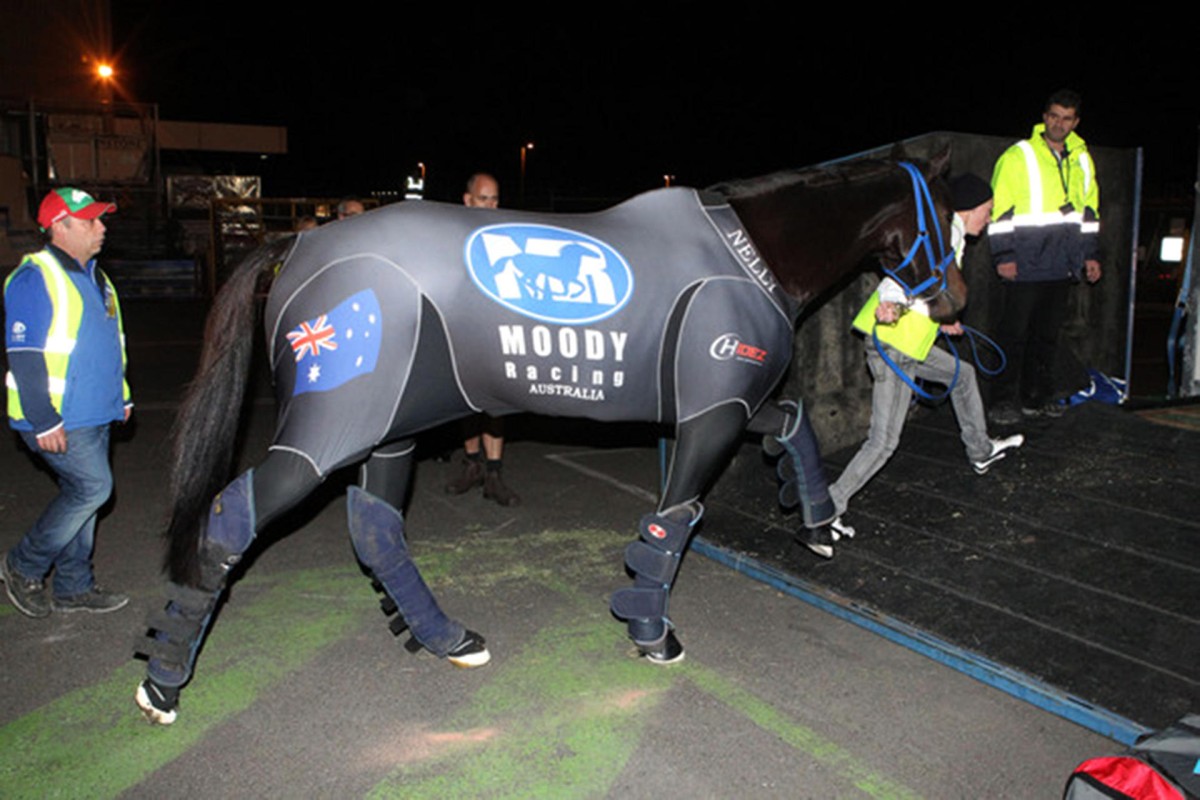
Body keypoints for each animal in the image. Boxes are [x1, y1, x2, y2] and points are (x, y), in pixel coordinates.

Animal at [133, 151, 955, 724]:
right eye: (947, 220)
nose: (953, 303)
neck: (745, 253)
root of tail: (298, 246)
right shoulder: (711, 416)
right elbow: (672, 524)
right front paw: (652, 631)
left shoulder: (719, 403)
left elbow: (794, 425)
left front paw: (818, 521)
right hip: (333, 427)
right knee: (232, 514)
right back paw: (165, 679)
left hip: (389, 427)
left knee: (376, 528)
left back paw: (444, 636)